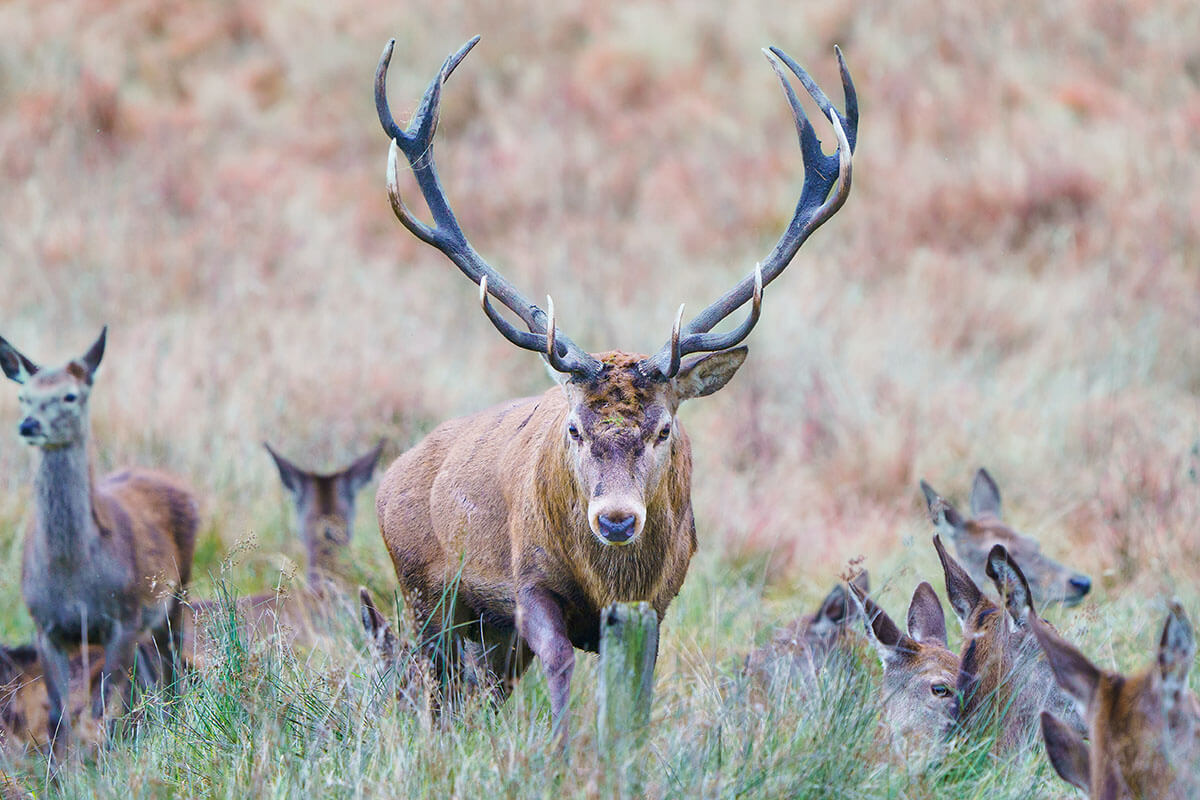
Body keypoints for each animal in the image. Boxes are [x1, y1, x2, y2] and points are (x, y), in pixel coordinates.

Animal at [0, 327, 198, 758]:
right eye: (23, 396)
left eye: (70, 396)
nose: (28, 425)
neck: (73, 576)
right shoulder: (45, 626)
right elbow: (59, 718)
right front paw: (62, 771)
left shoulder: (121, 617)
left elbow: (100, 710)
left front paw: (100, 763)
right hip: (144, 622)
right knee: (153, 676)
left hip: (176, 593)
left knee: (171, 670)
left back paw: (174, 727)